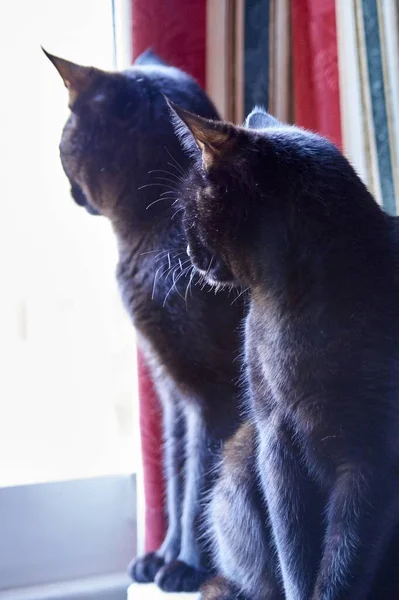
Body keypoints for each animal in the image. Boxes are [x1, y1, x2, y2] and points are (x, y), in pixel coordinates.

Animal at [45, 49, 247, 592]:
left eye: (63, 143)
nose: (68, 191)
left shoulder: (210, 390)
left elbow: (201, 479)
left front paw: (187, 568)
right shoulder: (171, 389)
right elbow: (177, 477)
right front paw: (161, 558)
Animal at [170, 103, 399, 600]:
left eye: (189, 211)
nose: (190, 254)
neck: (295, 308)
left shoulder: (372, 457)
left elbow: (343, 563)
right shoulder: (276, 439)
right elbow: (293, 551)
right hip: (240, 459)